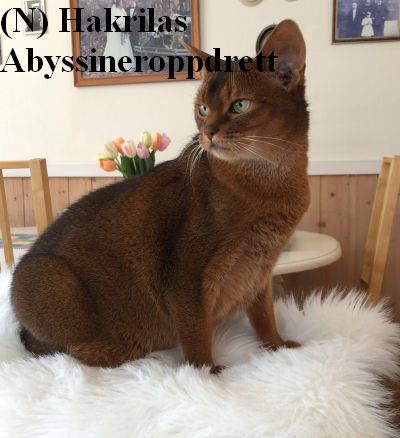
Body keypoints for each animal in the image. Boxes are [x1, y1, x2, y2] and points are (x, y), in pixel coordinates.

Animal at [11, 20, 310, 374]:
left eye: (240, 105)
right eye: (203, 108)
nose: (207, 132)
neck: (271, 180)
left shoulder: (260, 272)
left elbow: (264, 317)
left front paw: (278, 347)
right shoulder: (186, 279)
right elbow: (195, 331)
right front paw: (207, 372)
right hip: (47, 277)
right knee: (61, 350)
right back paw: (116, 350)